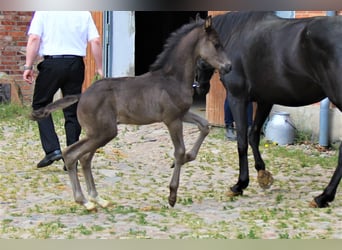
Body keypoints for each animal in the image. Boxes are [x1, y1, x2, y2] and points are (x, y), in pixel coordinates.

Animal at [30, 16, 231, 210]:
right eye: (216, 44)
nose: (228, 66)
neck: (172, 79)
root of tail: (82, 95)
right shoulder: (172, 119)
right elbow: (179, 151)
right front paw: (172, 195)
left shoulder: (183, 113)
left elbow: (205, 126)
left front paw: (188, 158)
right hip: (103, 132)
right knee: (72, 154)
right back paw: (84, 201)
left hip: (97, 133)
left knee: (85, 158)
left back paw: (98, 199)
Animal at [195, 11, 342, 207]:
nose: (200, 88)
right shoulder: (265, 100)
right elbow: (253, 135)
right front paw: (263, 175)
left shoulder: (237, 99)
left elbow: (241, 141)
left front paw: (239, 185)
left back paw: (323, 197)